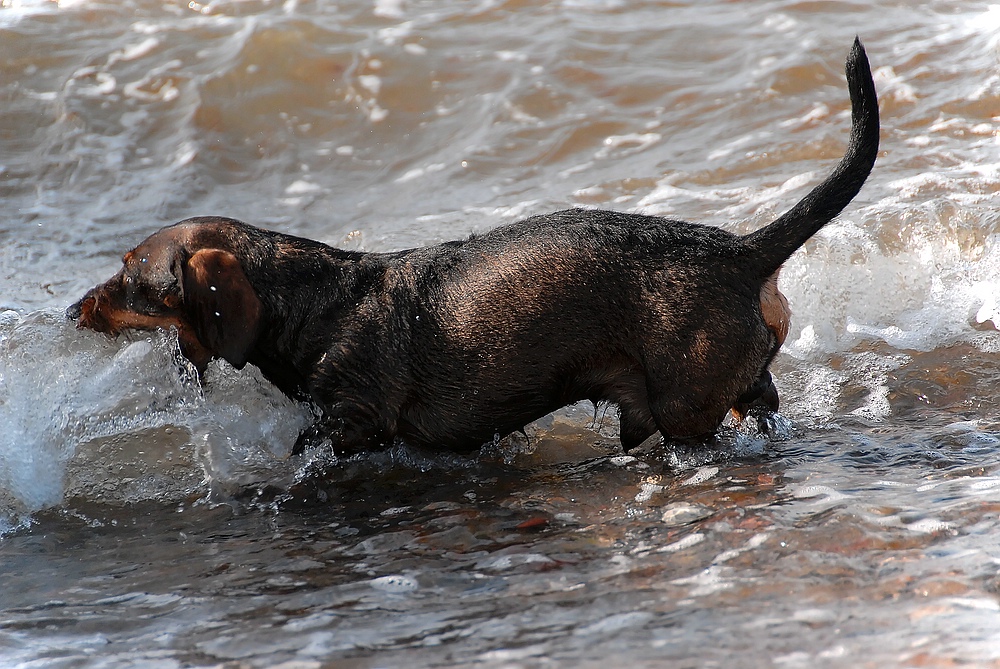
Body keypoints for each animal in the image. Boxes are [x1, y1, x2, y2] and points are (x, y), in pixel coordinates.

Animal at [66, 36, 880, 454]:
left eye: (130, 272)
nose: (71, 311)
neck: (315, 304)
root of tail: (741, 251)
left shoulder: (349, 423)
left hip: (685, 407)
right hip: (723, 393)